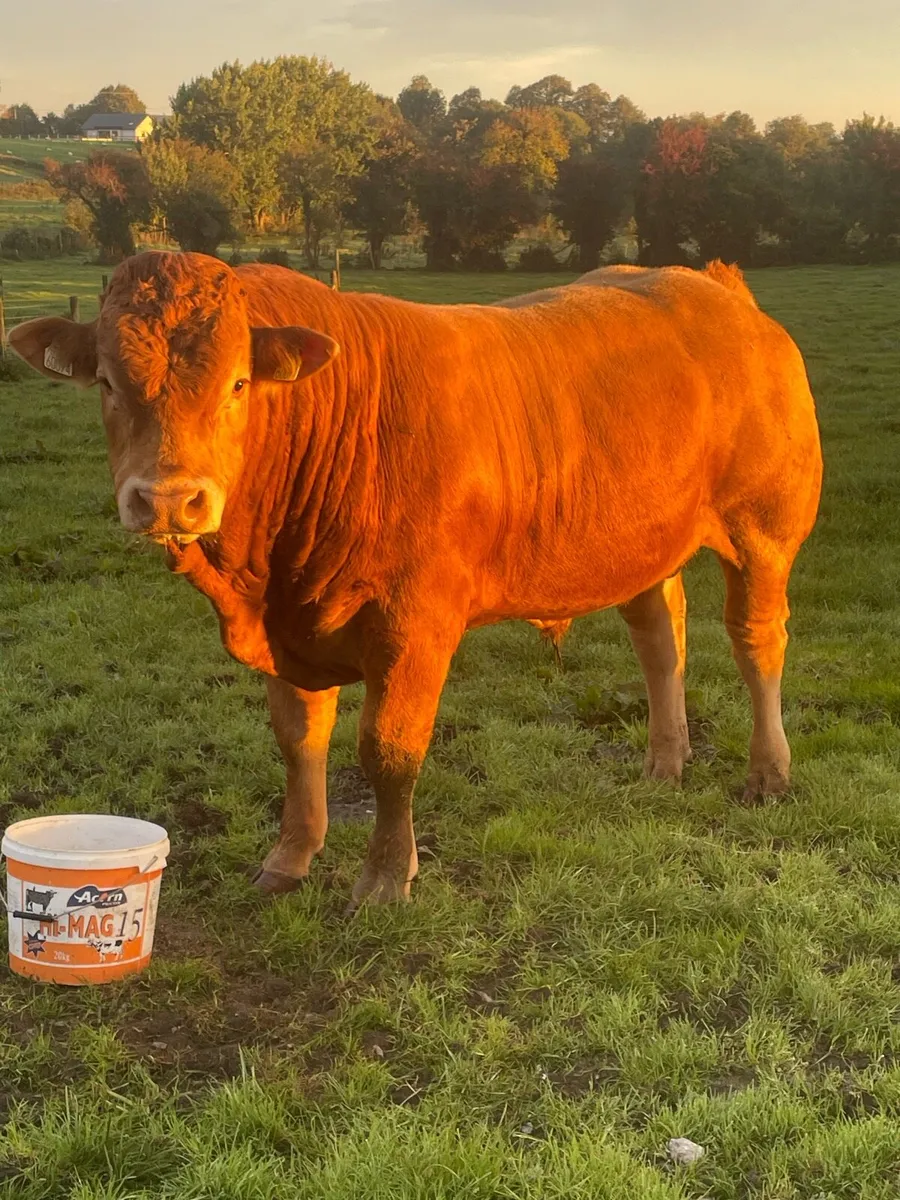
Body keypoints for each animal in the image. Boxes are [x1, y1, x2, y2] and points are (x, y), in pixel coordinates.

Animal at [9, 252, 822, 909]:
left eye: (239, 382)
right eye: (106, 382)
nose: (170, 499)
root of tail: (715, 288)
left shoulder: (414, 624)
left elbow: (389, 752)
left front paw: (383, 878)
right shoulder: (289, 627)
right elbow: (299, 740)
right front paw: (291, 857)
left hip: (764, 530)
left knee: (756, 641)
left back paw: (768, 773)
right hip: (644, 540)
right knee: (661, 638)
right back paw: (664, 761)